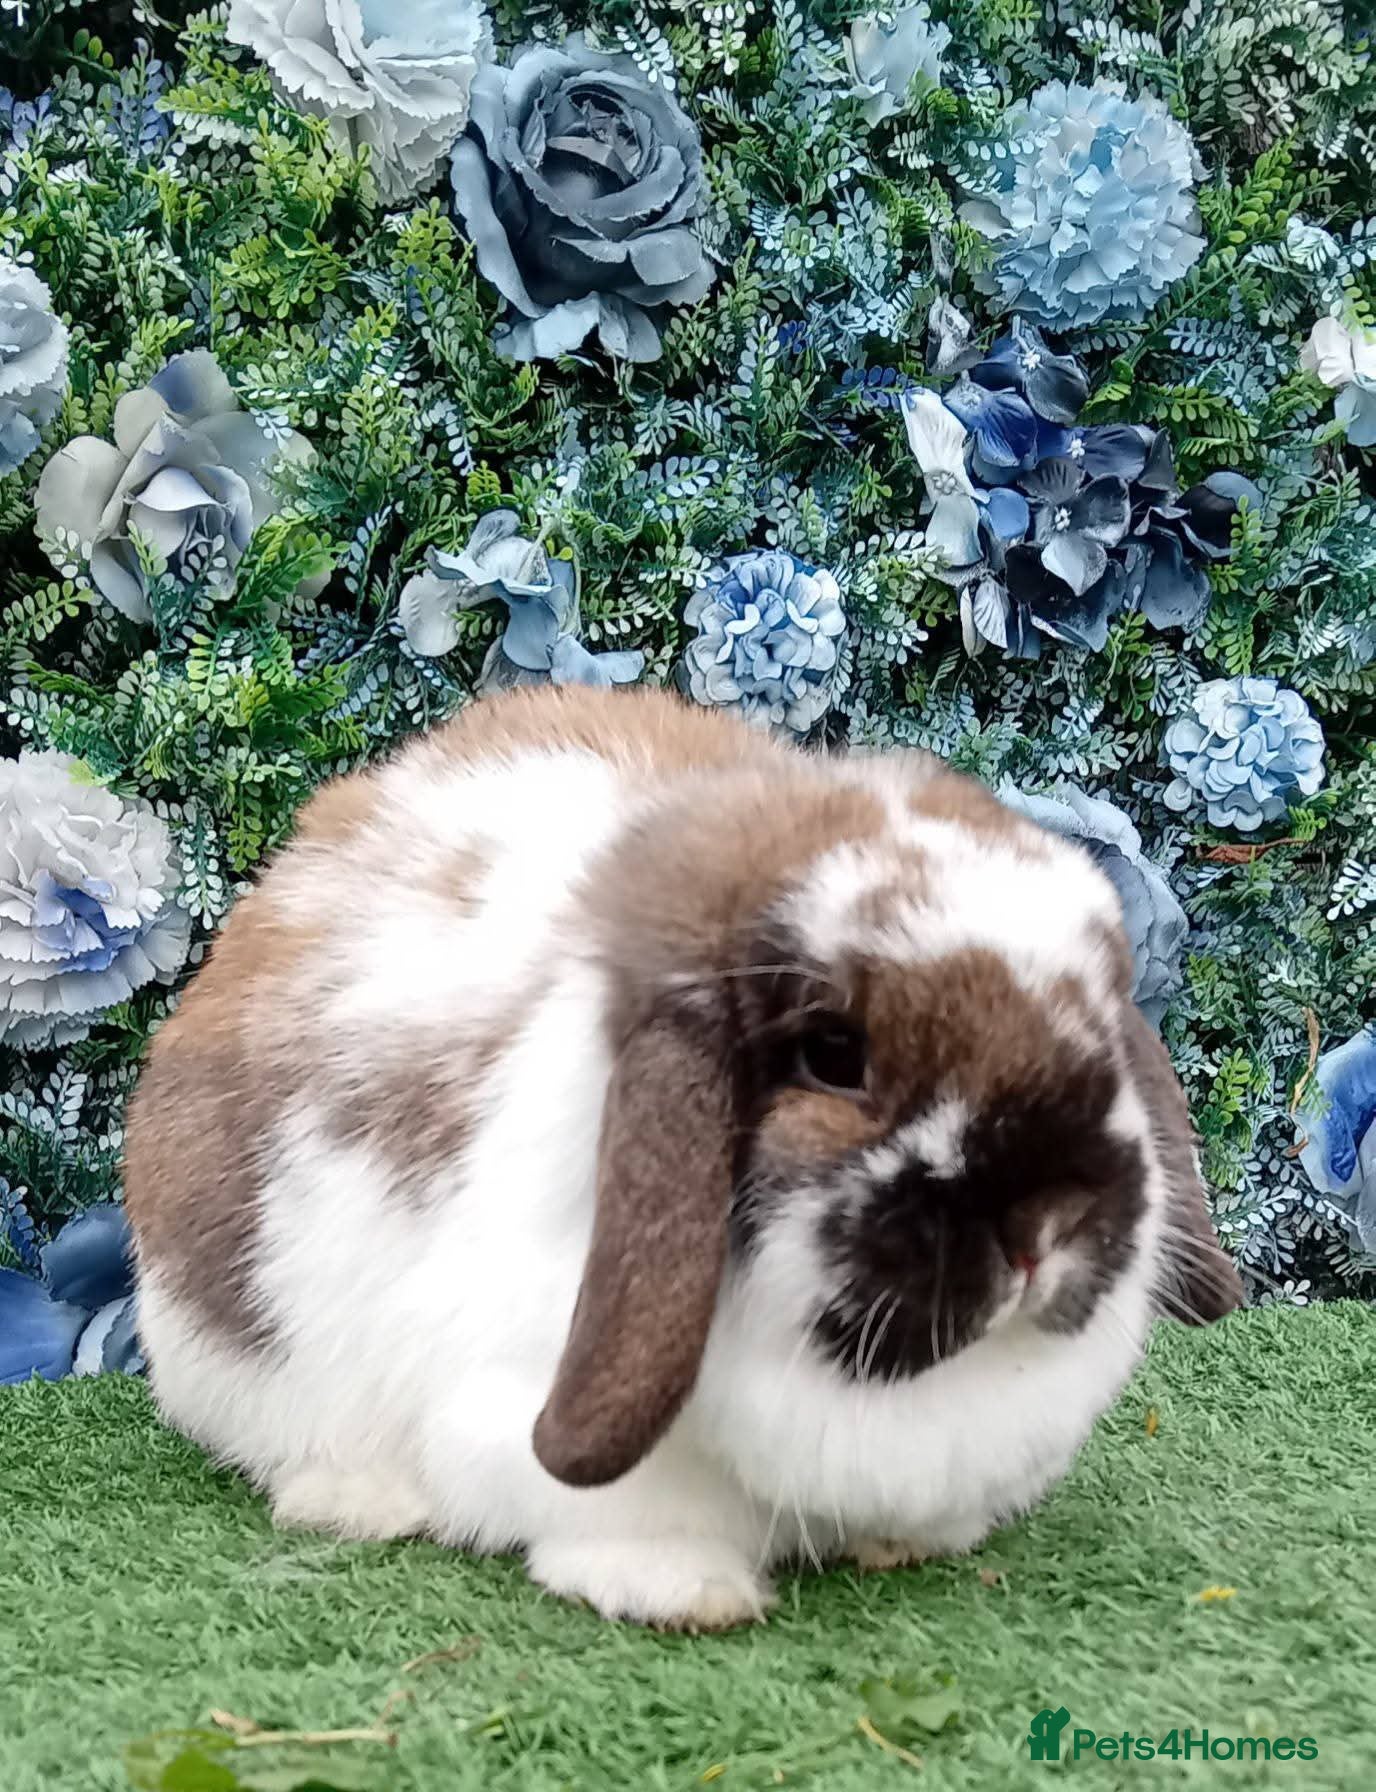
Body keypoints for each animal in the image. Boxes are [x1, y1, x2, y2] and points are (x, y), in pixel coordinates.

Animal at [123, 684, 1242, 1630]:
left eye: (1104, 1024)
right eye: (834, 1053)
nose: (1046, 1225)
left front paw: (906, 1543)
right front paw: (684, 1591)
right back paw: (355, 1499)